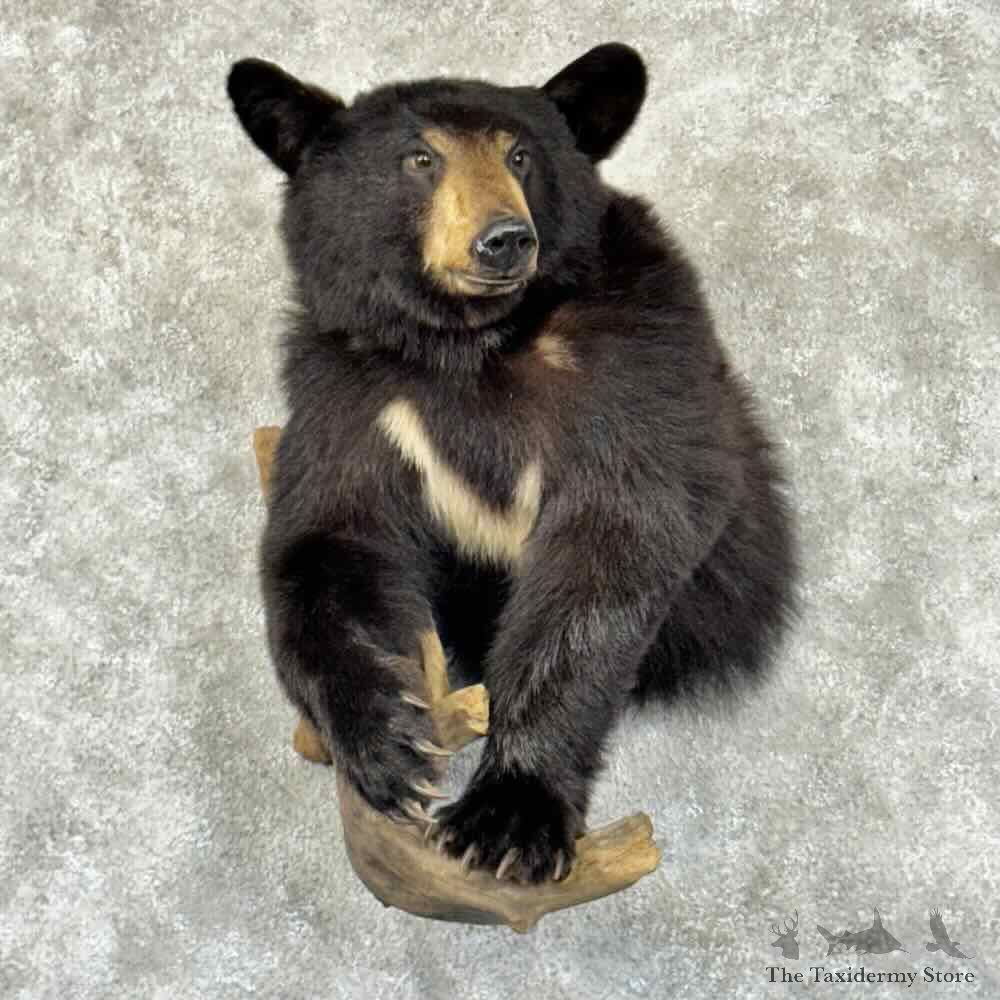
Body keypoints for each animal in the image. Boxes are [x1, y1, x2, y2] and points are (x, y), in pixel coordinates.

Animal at [227, 43, 796, 884]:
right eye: (420, 157)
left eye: (520, 155)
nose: (503, 239)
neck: (468, 344)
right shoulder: (346, 392)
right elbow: (325, 539)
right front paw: (388, 748)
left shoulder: (632, 361)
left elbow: (613, 542)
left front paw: (508, 815)